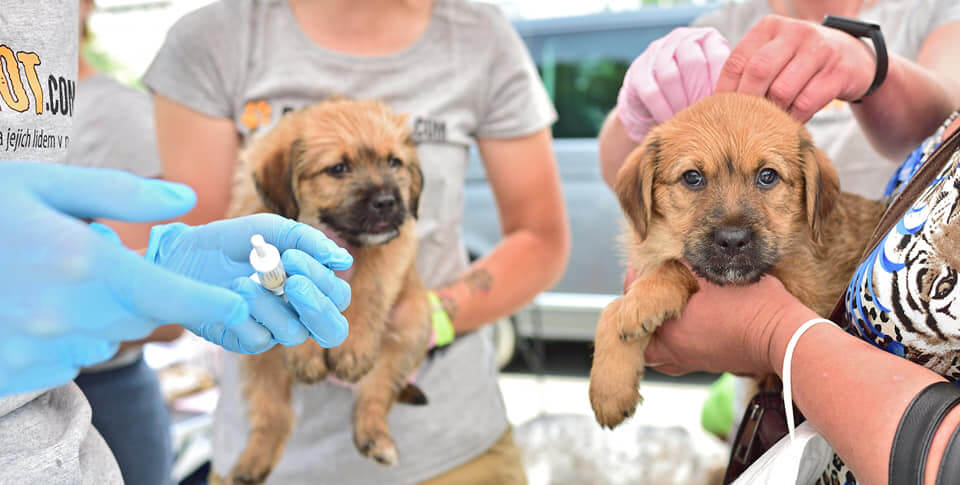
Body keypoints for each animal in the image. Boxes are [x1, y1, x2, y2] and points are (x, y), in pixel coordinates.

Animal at [227, 96, 430, 482]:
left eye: (394, 162)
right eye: (338, 168)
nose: (387, 202)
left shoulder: (392, 247)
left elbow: (368, 288)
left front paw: (352, 350)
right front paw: (306, 354)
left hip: (409, 325)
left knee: (376, 392)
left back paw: (374, 437)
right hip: (258, 357)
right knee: (273, 413)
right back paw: (253, 460)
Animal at [592, 93, 884, 428]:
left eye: (767, 176)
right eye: (692, 177)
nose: (732, 240)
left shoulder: (803, 289)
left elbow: (675, 267)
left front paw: (644, 300)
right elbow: (610, 310)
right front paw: (610, 388)